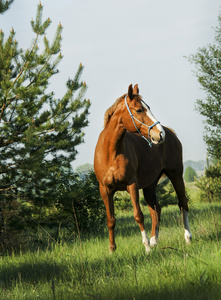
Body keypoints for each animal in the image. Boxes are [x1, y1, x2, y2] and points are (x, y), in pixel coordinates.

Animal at [93, 84, 192, 253]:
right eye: (139, 110)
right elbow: (110, 219)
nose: (160, 133)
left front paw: (146, 248)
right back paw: (154, 240)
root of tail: (172, 133)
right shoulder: (105, 190)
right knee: (156, 210)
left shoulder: (132, 185)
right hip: (150, 186)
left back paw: (187, 238)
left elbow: (138, 215)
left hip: (176, 175)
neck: (111, 153)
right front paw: (112, 250)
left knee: (182, 203)